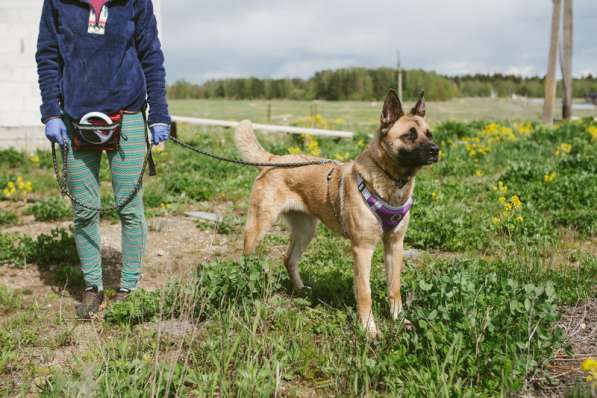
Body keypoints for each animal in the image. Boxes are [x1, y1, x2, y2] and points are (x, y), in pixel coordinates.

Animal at [234, 90, 438, 336]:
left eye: (429, 134)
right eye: (409, 135)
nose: (436, 150)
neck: (391, 180)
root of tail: (274, 159)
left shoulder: (395, 245)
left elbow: (394, 287)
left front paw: (399, 320)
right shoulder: (362, 249)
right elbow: (365, 293)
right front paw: (368, 329)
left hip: (306, 231)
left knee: (289, 259)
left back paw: (301, 291)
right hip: (258, 227)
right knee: (247, 260)